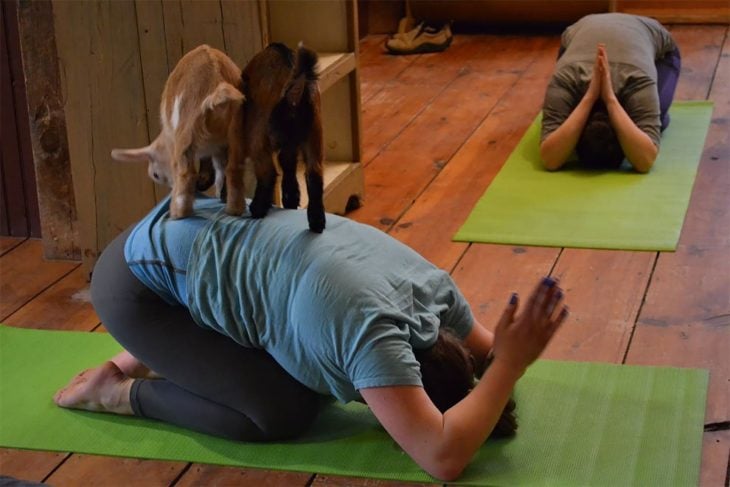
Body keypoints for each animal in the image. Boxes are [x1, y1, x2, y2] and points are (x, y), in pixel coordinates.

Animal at [111, 44, 246, 220]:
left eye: (155, 175)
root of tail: (216, 82)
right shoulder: (220, 147)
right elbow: (220, 169)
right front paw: (220, 195)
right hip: (237, 135)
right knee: (234, 169)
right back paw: (234, 210)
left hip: (186, 136)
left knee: (186, 173)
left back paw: (178, 213)